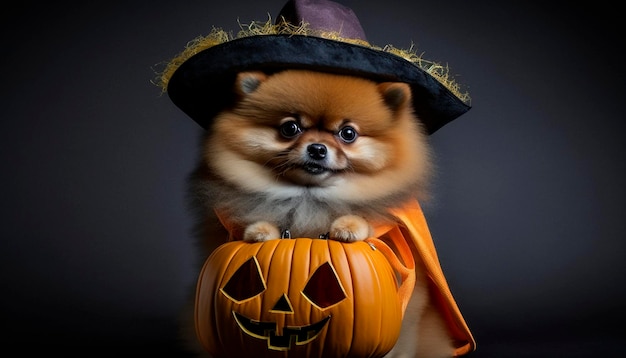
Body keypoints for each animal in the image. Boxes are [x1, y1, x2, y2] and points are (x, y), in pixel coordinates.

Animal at [183, 68, 456, 356]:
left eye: (348, 133)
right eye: (290, 128)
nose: (316, 148)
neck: (309, 198)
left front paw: (348, 227)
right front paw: (260, 231)